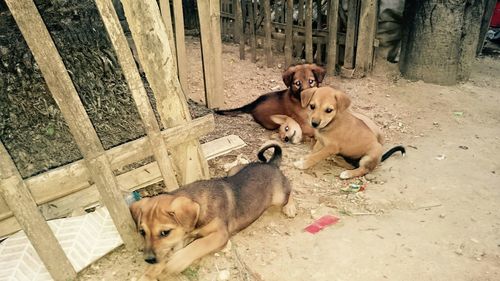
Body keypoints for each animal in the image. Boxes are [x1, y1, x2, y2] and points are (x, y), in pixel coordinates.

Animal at [130, 143, 296, 278]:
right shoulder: (184, 236)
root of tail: (272, 164)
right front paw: (152, 271)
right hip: (232, 171)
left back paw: (290, 207)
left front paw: (176, 262)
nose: (148, 260)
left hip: (279, 196)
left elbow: (199, 245)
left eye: (165, 232)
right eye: (142, 232)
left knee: (289, 187)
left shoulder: (220, 235)